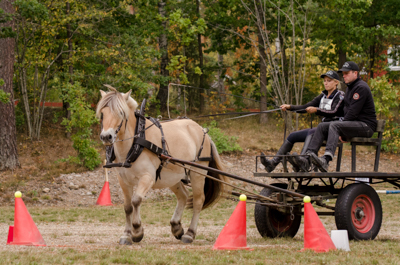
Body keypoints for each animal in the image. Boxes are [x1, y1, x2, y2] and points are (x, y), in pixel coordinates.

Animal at [95, 86, 230, 243]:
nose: (106, 136)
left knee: (198, 200)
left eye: (121, 112)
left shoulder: (148, 177)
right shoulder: (123, 180)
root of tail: (203, 130)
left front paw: (137, 231)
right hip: (172, 176)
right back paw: (176, 227)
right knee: (183, 195)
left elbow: (136, 200)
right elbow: (128, 207)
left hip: (198, 173)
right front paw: (127, 234)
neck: (136, 142)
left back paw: (189, 233)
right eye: (102, 113)